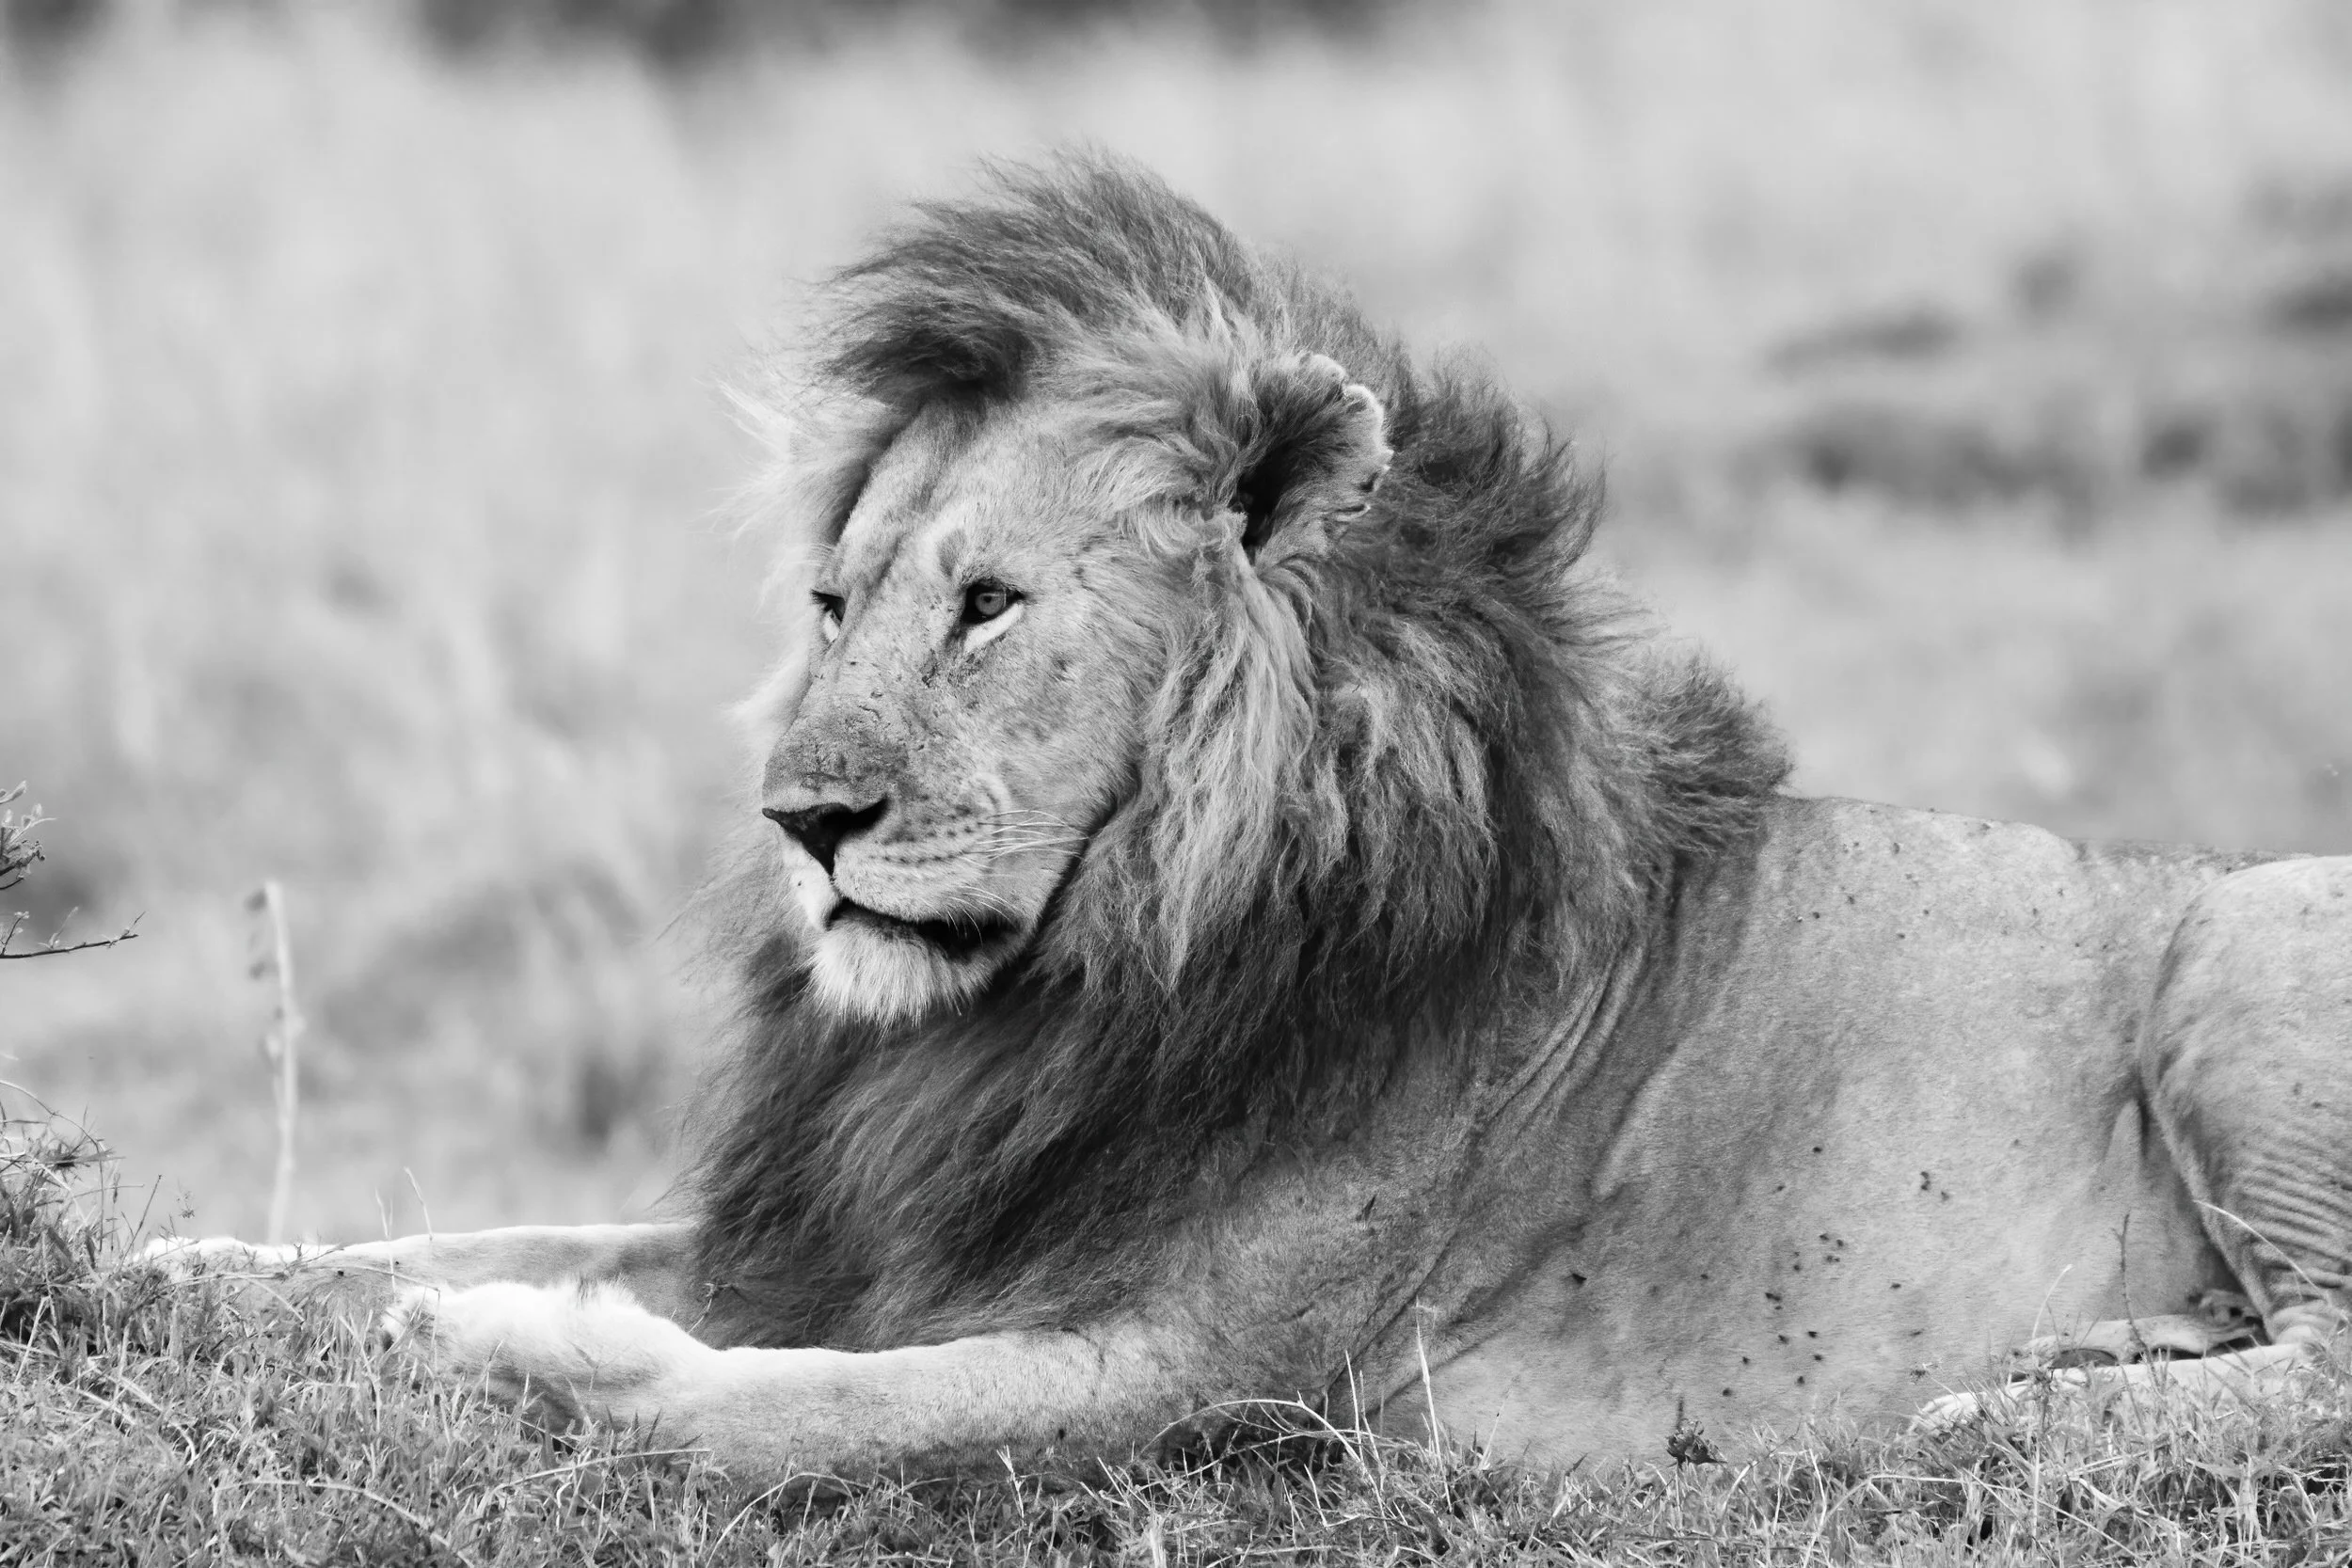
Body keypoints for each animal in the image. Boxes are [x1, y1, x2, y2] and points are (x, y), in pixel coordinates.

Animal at [156, 156, 2351, 1482]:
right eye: (832, 603)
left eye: (989, 603)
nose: (803, 818)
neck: (1063, 992)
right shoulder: (860, 1223)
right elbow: (478, 1223)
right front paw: (187, 1259)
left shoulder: (1224, 1373)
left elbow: (805, 1408)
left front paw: (508, 1348)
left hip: (2244, 976)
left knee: (2328, 1360)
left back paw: (2016, 1410)